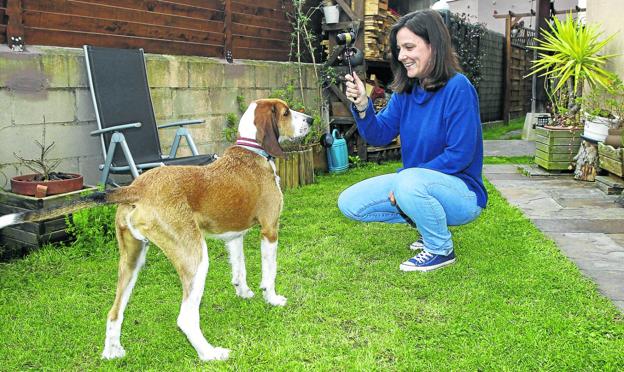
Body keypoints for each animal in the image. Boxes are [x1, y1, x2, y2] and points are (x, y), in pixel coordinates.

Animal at [0, 98, 312, 360]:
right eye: (286, 112)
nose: (309, 119)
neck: (251, 149)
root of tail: (136, 187)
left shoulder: (233, 235)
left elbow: (240, 270)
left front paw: (244, 294)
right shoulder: (270, 229)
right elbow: (269, 273)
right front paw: (272, 299)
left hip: (132, 261)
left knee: (114, 312)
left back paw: (112, 352)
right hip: (195, 258)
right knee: (186, 317)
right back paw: (210, 354)